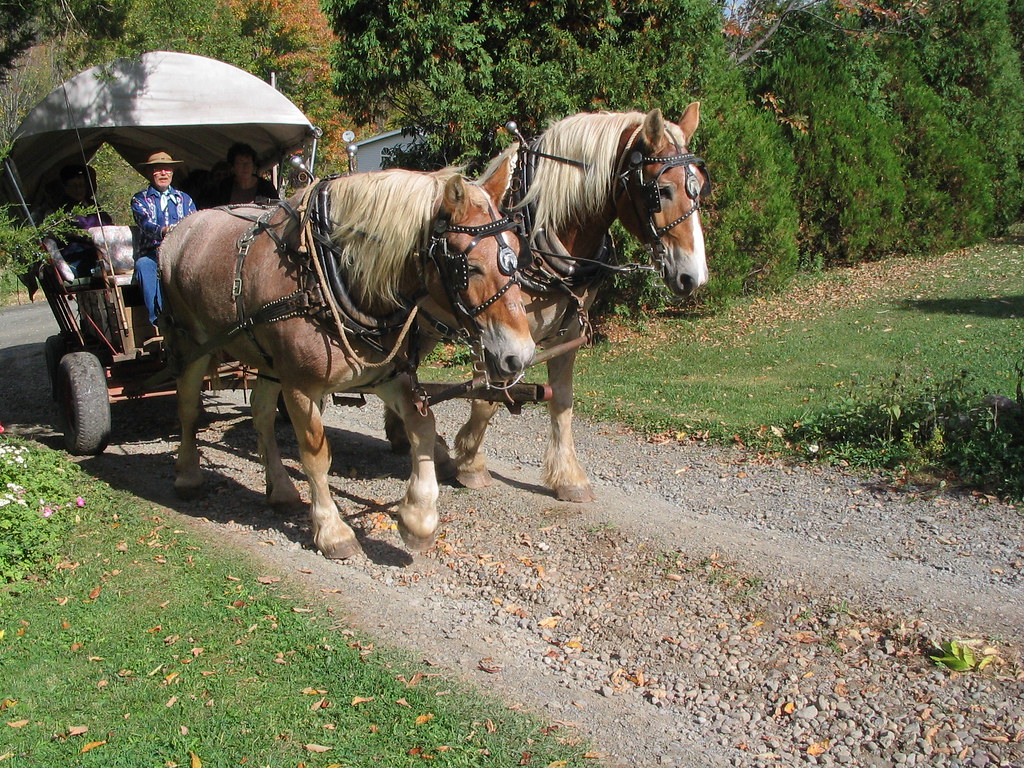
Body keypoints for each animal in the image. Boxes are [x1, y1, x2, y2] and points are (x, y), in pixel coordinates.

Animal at [160, 149, 534, 559]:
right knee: (188, 407)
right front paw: (331, 530)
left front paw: (418, 519)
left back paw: (280, 489)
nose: (521, 355)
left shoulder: (387, 374)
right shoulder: (301, 387)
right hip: (191, 344)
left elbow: (422, 427)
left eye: (517, 253)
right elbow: (315, 455)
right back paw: (188, 474)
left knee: (260, 413)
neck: (327, 270)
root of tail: (178, 231)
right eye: (472, 267)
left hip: (268, 360)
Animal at [385, 103, 710, 502]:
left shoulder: (565, 333)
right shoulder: (494, 333)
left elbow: (562, 400)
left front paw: (568, 477)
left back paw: (401, 432)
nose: (693, 276)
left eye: (699, 186)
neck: (537, 237)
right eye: (661, 190)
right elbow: (487, 398)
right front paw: (470, 463)